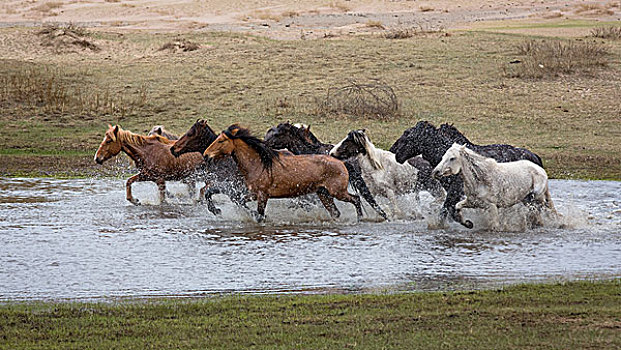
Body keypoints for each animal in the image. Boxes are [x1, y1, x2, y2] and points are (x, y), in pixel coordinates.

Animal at [203, 125, 360, 221]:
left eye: (221, 141)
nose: (206, 155)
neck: (259, 164)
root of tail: (341, 162)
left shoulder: (262, 195)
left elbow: (259, 215)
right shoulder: (253, 193)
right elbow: (240, 201)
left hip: (337, 192)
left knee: (356, 199)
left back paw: (360, 219)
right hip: (323, 193)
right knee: (336, 212)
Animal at [390, 121, 544, 227]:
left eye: (407, 136)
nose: (395, 152)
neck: (443, 155)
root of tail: (535, 156)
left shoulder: (455, 190)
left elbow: (446, 210)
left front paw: (464, 223)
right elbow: (449, 210)